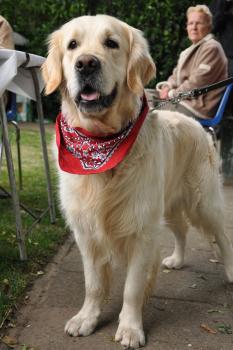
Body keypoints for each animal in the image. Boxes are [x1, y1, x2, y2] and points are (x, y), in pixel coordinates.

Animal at [41, 15, 233, 348]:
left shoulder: (141, 229)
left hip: (203, 202)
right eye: (72, 45)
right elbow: (93, 284)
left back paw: (231, 273)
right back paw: (177, 259)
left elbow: (132, 288)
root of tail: (197, 124)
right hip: (168, 204)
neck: (100, 143)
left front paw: (130, 328)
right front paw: (86, 318)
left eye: (111, 43)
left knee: (222, 236)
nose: (86, 64)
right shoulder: (85, 231)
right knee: (181, 230)